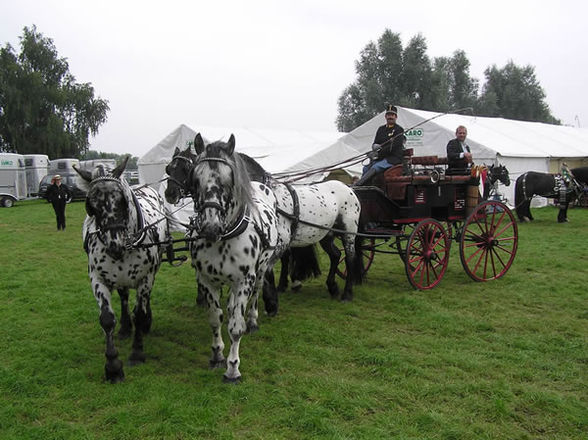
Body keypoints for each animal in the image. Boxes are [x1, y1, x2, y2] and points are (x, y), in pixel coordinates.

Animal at [74, 157, 169, 382]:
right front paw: (113, 366)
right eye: (92, 206)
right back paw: (126, 327)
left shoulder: (146, 277)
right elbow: (107, 319)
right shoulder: (97, 278)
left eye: (123, 201)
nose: (114, 245)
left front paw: (137, 352)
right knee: (124, 297)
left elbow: (140, 313)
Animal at [186, 133, 292, 382]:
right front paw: (217, 355)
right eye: (195, 178)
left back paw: (252, 320)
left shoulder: (245, 280)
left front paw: (233, 368)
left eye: (228, 180)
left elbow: (236, 327)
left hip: (260, 272)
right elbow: (215, 318)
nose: (210, 227)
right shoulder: (207, 281)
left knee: (255, 295)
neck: (223, 238)